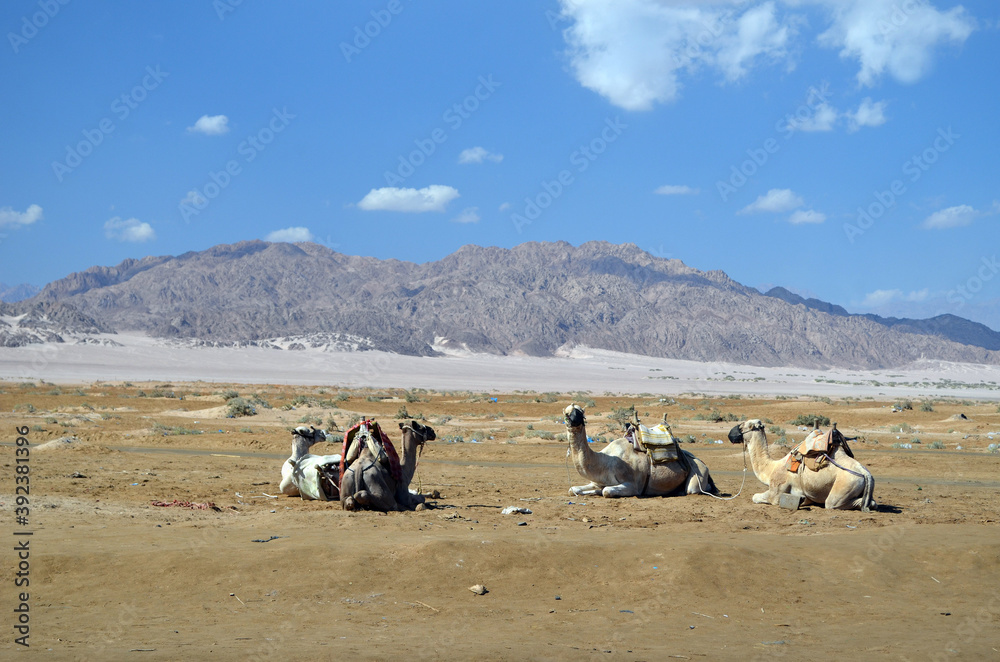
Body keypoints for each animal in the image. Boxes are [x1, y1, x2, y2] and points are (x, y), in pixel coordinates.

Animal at [563, 404, 717, 498]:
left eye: (581, 413)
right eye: (567, 414)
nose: (574, 421)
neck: (605, 462)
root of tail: (702, 463)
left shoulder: (633, 485)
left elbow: (606, 491)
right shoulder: (596, 481)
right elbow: (572, 489)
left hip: (698, 475)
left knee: (692, 489)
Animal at [728, 419, 876, 511]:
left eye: (742, 425)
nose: (730, 434)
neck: (772, 468)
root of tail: (865, 473)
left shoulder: (776, 492)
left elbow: (755, 497)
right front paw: (803, 501)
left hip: (845, 485)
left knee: (832, 503)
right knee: (871, 502)